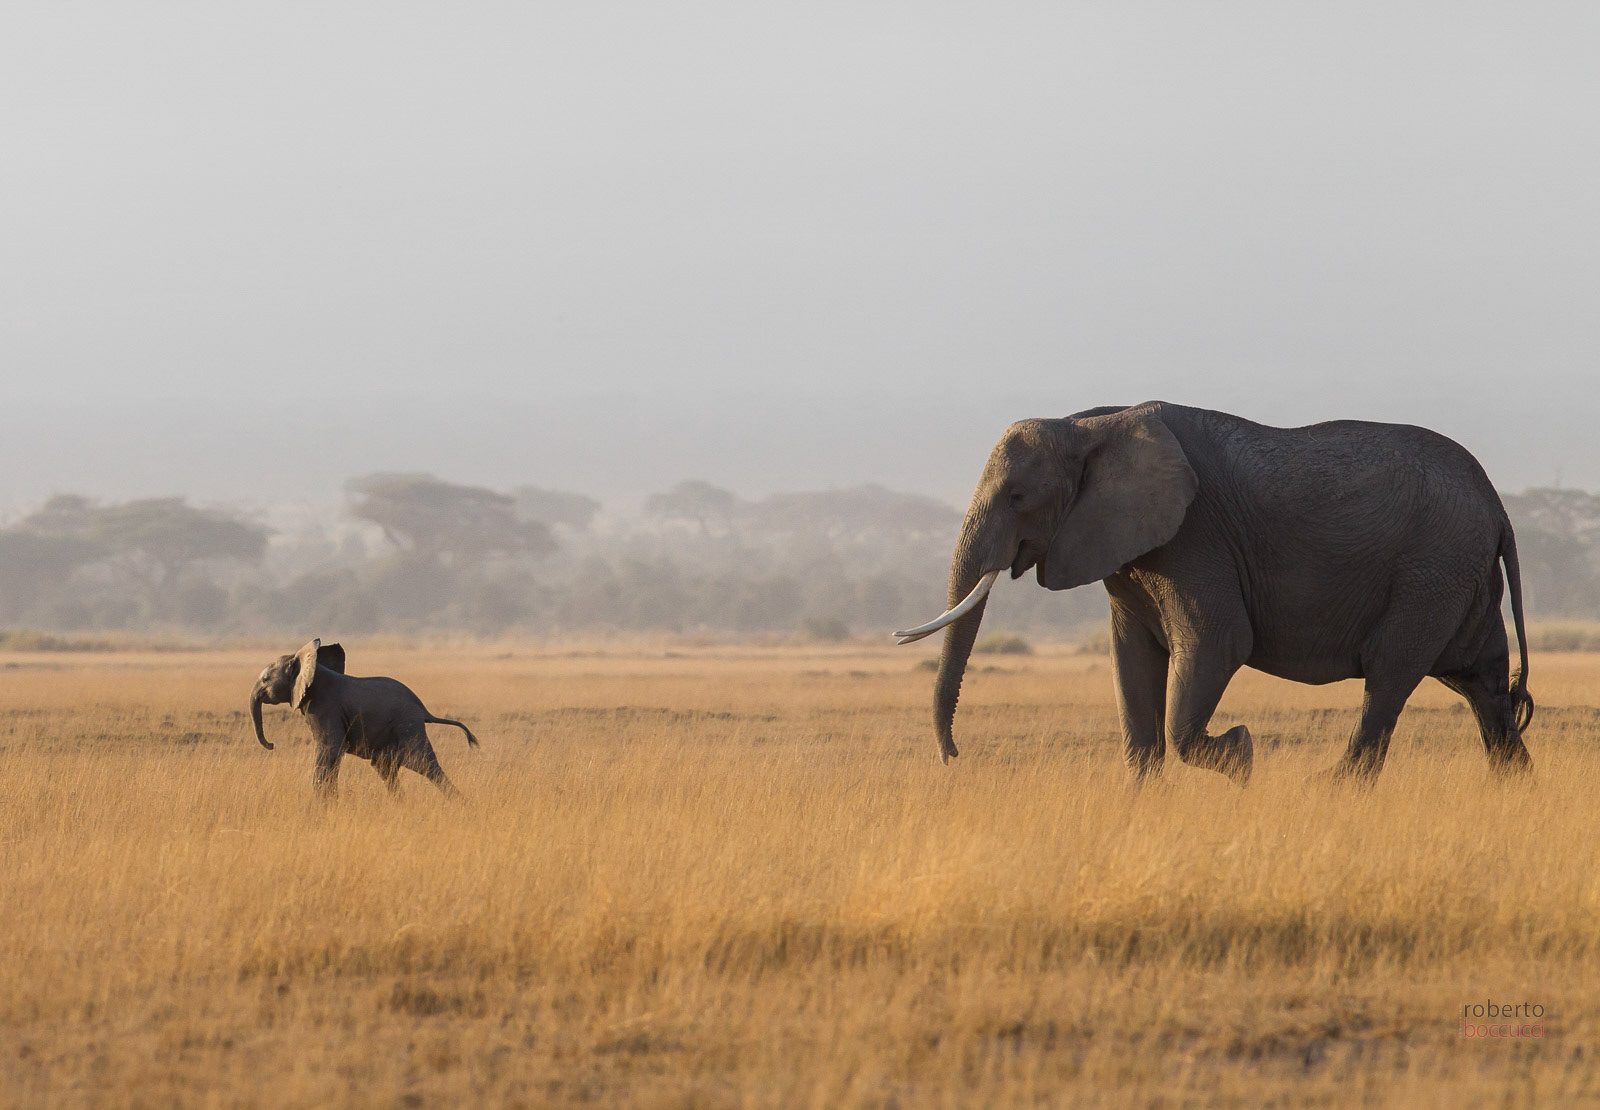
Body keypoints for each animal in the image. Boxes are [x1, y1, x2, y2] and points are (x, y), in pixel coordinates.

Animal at [250, 639, 479, 797]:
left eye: (265, 679)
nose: (272, 745)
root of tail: (424, 710)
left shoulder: (325, 708)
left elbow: (330, 748)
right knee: (386, 769)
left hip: (407, 726)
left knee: (425, 765)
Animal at [895, 402, 1533, 783]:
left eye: (1017, 497)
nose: (954, 760)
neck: (1092, 422)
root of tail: (1498, 507)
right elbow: (1132, 664)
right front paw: (1139, 803)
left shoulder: (1194, 537)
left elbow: (1217, 644)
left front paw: (1242, 753)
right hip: (1459, 576)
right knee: (1482, 683)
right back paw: (1514, 789)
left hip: (1433, 570)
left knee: (1391, 674)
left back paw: (1331, 791)